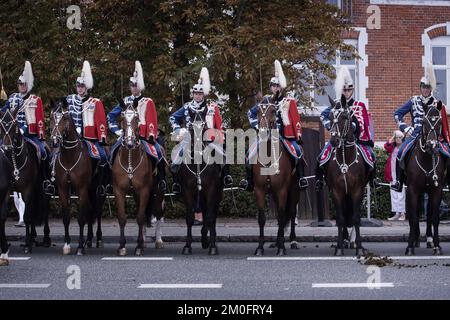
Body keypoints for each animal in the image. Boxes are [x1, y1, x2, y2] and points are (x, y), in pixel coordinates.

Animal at [49, 99, 104, 256]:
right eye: (51, 117)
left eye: (64, 118)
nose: (55, 141)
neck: (70, 156)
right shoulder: (63, 189)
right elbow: (66, 217)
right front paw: (67, 244)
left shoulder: (81, 189)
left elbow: (80, 218)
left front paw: (79, 247)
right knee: (91, 211)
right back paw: (89, 239)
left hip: (97, 190)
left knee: (97, 211)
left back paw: (97, 239)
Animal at [111, 99, 156, 255]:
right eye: (122, 118)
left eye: (137, 118)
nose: (130, 143)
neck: (130, 159)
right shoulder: (118, 190)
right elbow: (122, 217)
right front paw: (122, 246)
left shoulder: (144, 190)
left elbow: (140, 217)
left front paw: (138, 246)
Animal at [251, 92, 300, 255]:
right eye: (257, 111)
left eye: (273, 111)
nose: (262, 132)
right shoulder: (259, 190)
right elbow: (262, 218)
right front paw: (260, 247)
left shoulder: (283, 190)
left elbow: (282, 216)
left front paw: (282, 247)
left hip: (294, 189)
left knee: (291, 213)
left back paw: (291, 241)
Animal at [326, 96, 370, 256]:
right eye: (330, 117)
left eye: (345, 117)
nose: (334, 141)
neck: (346, 158)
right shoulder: (336, 192)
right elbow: (340, 218)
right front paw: (339, 247)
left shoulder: (357, 191)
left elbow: (356, 218)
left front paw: (359, 247)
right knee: (345, 216)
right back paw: (345, 241)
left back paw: (353, 241)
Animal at [404, 100, 446, 255]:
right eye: (424, 122)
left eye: (439, 122)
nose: (431, 145)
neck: (427, 158)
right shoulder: (412, 189)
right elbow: (413, 218)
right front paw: (409, 246)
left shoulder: (437, 190)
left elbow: (434, 218)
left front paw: (437, 245)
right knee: (415, 213)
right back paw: (415, 240)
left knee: (427, 215)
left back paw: (428, 240)